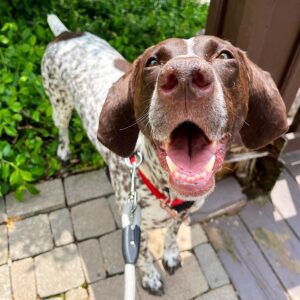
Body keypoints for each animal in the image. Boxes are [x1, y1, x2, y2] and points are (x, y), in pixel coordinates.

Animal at [41, 14, 288, 296]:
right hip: (59, 104)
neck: (168, 191)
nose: (185, 76)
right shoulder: (135, 226)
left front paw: (170, 255)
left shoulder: (183, 215)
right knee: (62, 129)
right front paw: (150, 277)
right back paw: (63, 150)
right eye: (153, 61)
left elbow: (172, 233)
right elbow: (143, 254)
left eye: (225, 55)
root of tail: (64, 33)